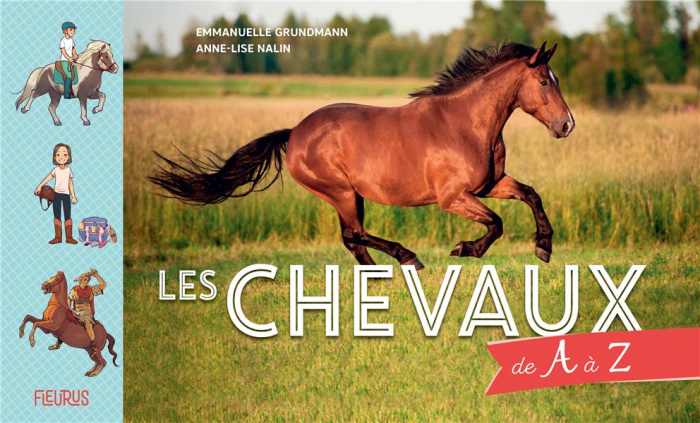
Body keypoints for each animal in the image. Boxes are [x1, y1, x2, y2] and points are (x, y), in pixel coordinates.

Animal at [149, 42, 575, 268]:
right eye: (543, 81)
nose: (567, 125)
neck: (466, 123)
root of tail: (294, 133)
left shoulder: (490, 185)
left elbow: (531, 195)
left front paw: (544, 246)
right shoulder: (453, 197)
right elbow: (497, 223)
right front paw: (465, 249)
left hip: (348, 195)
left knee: (352, 239)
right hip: (340, 192)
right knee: (354, 234)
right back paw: (407, 259)